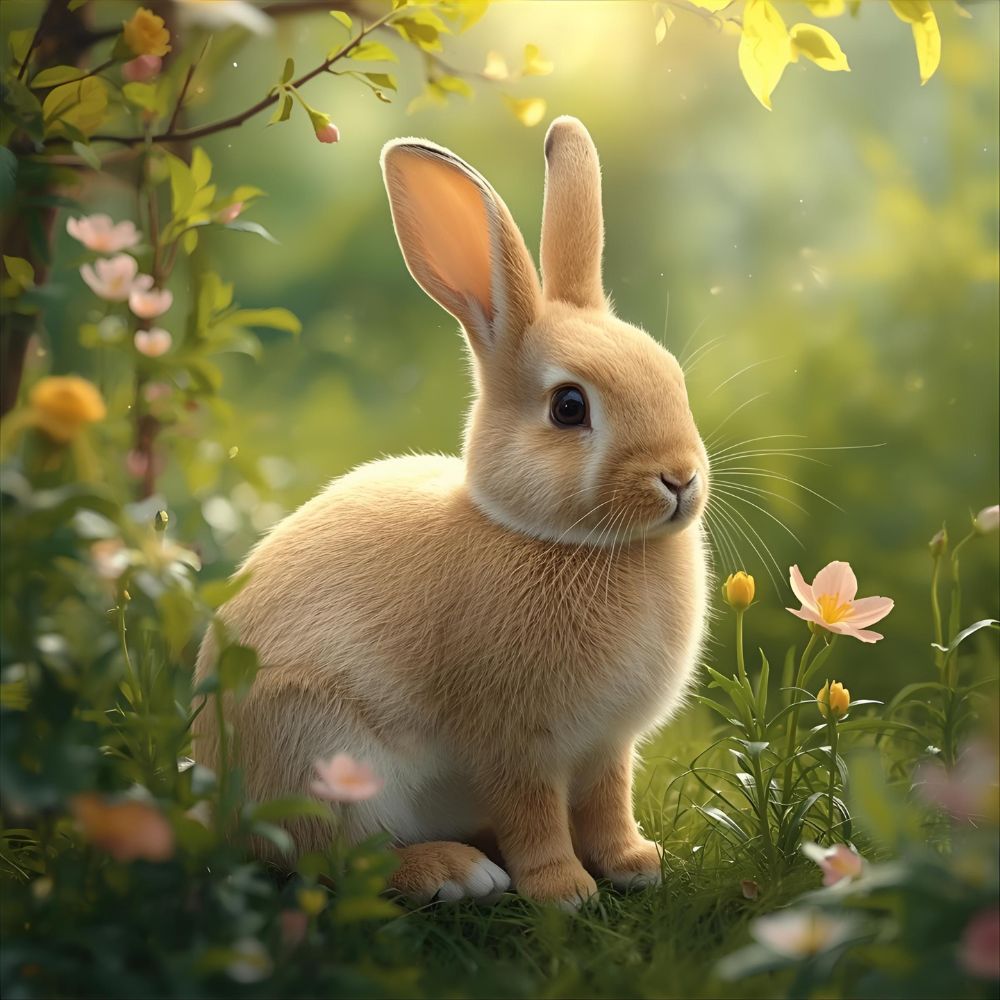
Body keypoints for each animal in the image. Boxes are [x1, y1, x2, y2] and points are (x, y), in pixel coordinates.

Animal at [192, 116, 710, 909]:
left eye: (672, 377)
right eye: (569, 407)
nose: (680, 478)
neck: (571, 541)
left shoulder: (607, 746)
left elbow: (608, 801)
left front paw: (634, 864)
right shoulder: (514, 741)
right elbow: (533, 813)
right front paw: (564, 890)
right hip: (322, 752)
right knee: (335, 859)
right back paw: (456, 871)